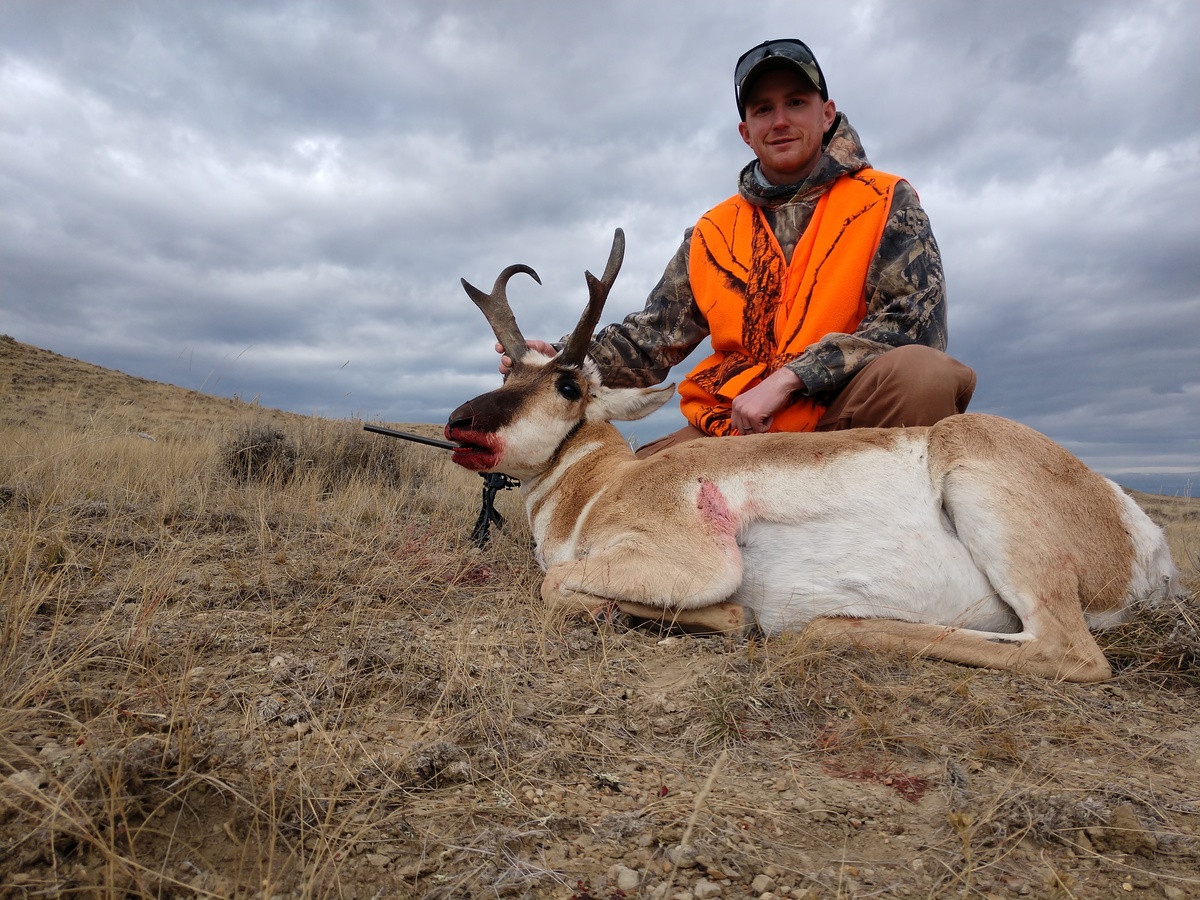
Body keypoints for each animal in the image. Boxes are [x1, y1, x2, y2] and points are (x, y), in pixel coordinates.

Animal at [445, 230, 1178, 683]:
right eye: (511, 371)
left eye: (568, 385)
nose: (460, 421)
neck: (602, 482)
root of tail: (1138, 532)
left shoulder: (692, 562)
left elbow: (556, 584)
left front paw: (719, 619)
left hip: (981, 492)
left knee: (1071, 653)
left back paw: (833, 625)